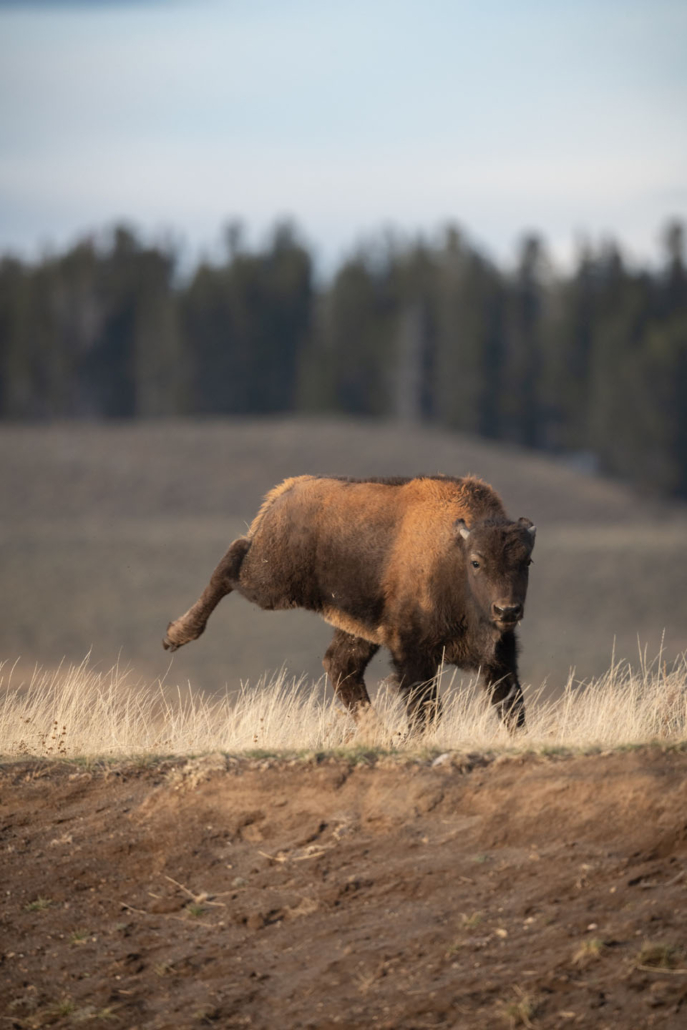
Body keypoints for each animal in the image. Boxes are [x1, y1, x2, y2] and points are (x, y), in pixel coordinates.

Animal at [163, 474, 536, 732]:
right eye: (476, 562)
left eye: (527, 561)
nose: (507, 610)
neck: (452, 554)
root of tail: (288, 490)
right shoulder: (413, 653)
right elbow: (425, 711)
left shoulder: (499, 659)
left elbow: (512, 708)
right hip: (270, 584)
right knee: (232, 560)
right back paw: (176, 634)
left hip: (358, 626)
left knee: (341, 666)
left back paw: (378, 735)